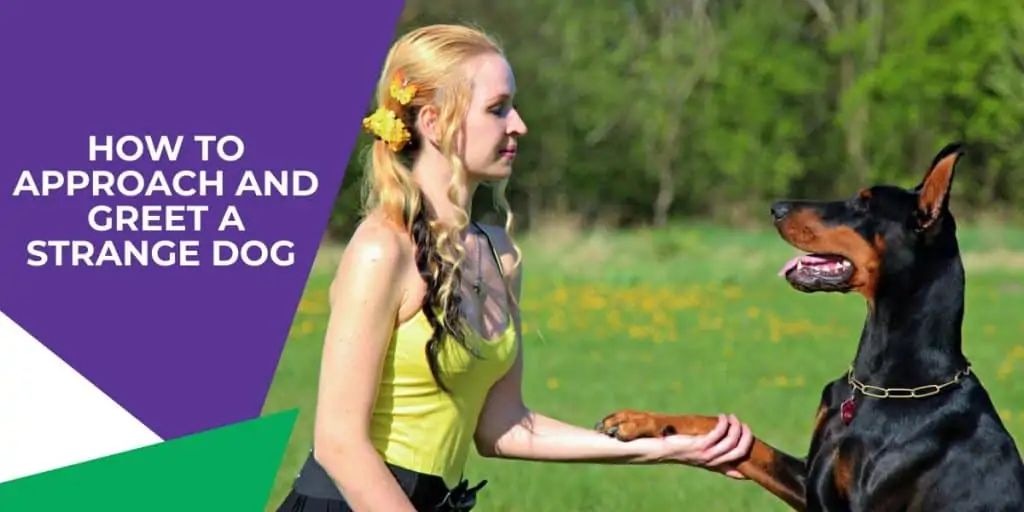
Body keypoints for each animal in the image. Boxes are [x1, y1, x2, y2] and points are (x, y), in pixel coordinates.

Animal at [598, 142, 1024, 509]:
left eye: (863, 204)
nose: (776, 206)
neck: (881, 385)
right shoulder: (809, 479)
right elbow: (735, 436)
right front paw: (638, 420)